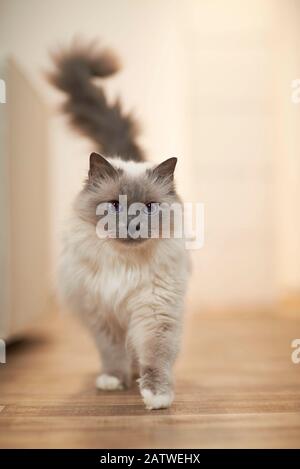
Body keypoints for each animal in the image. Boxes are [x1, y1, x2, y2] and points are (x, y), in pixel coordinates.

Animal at [49, 42, 190, 408]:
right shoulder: (102, 315)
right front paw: (113, 381)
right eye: (115, 205)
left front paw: (155, 395)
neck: (123, 266)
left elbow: (155, 356)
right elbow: (112, 353)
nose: (133, 225)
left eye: (149, 207)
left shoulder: (154, 310)